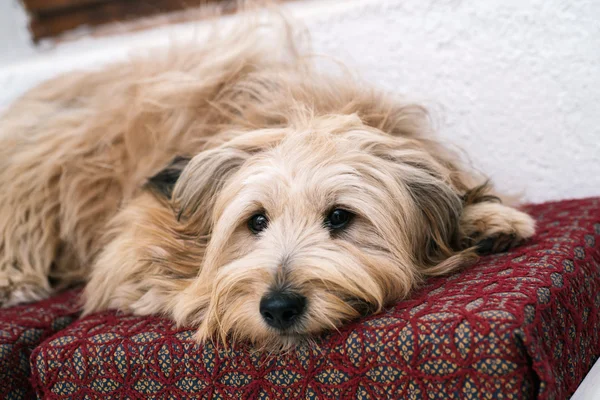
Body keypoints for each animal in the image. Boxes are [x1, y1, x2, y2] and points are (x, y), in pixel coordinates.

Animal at [0, 21, 536, 350]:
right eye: (255, 221)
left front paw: (491, 219)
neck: (296, 116)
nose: (278, 308)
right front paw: (203, 294)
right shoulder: (130, 242)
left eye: (339, 217)